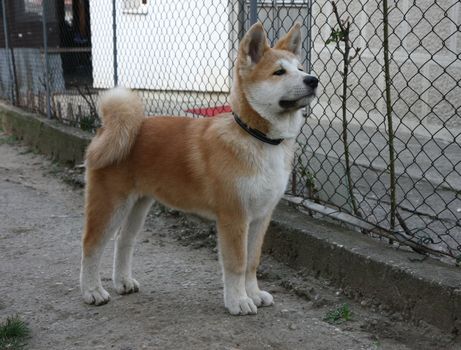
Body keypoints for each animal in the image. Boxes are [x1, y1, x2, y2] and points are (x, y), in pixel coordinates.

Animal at [79, 23, 316, 316]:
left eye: (301, 68)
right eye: (279, 72)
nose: (313, 80)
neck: (258, 138)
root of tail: (108, 129)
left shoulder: (261, 217)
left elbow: (252, 262)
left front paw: (253, 293)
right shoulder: (234, 217)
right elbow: (237, 264)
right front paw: (238, 301)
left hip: (138, 205)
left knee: (124, 240)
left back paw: (123, 282)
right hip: (110, 204)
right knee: (91, 244)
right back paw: (92, 291)